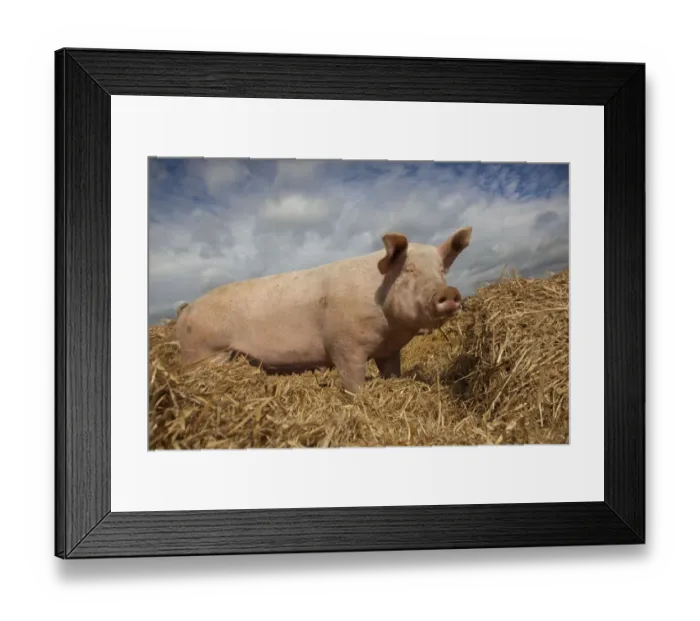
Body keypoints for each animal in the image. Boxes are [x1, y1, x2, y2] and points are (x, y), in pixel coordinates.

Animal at [176, 226, 472, 394]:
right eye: (409, 270)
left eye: (442, 271)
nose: (449, 292)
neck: (389, 325)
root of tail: (186, 310)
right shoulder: (344, 345)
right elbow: (353, 384)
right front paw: (361, 400)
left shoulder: (389, 351)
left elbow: (391, 373)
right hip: (203, 354)